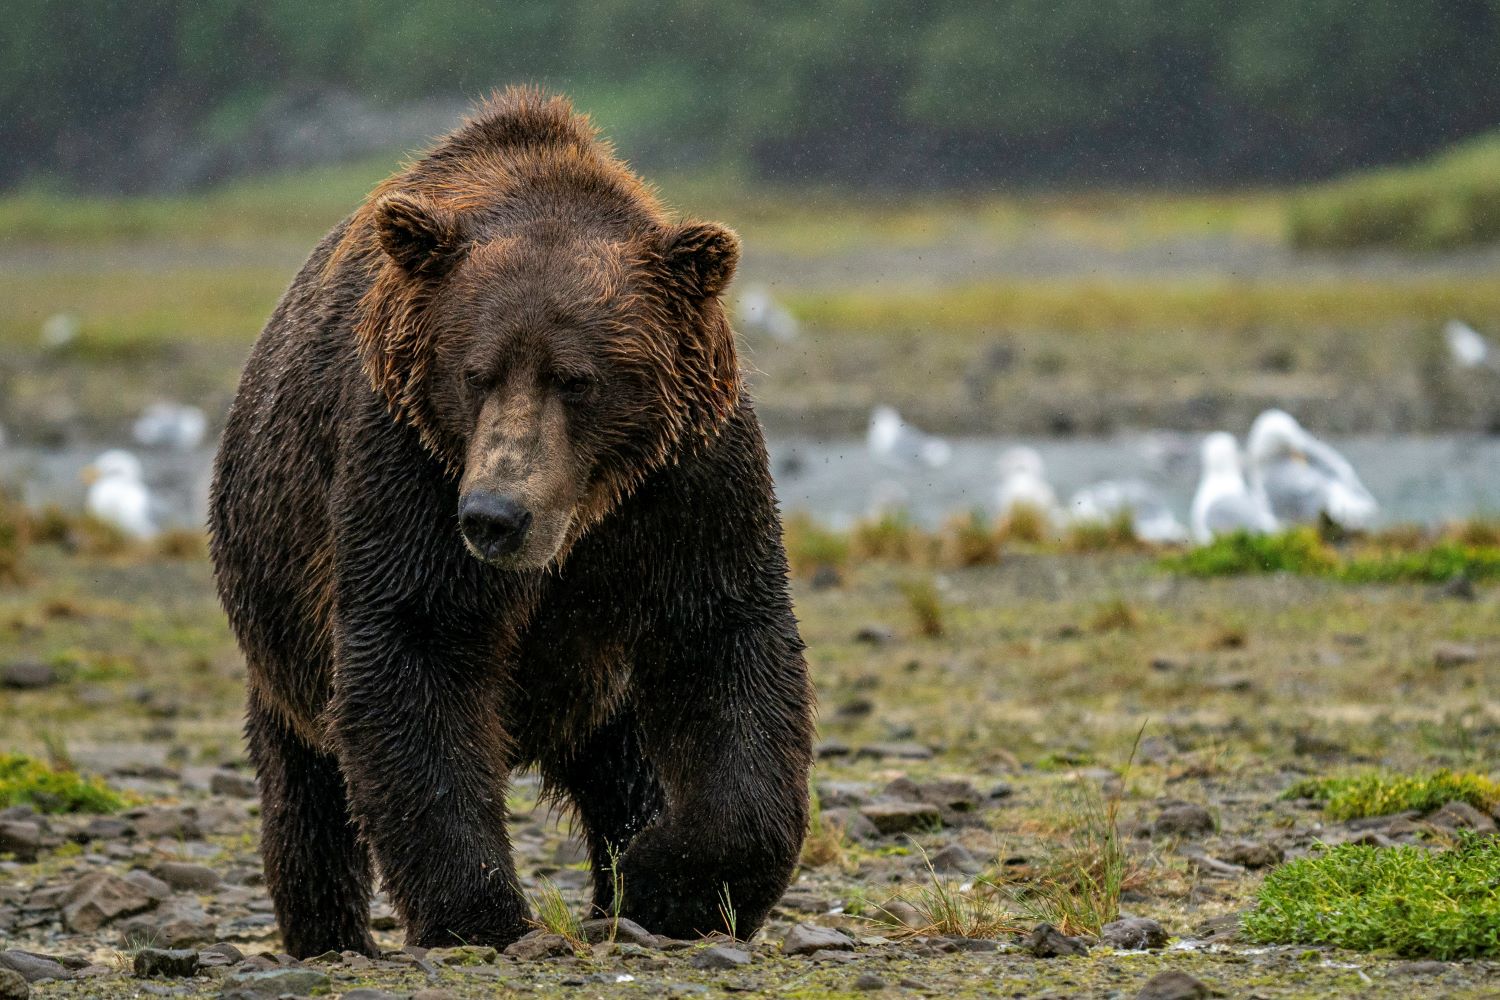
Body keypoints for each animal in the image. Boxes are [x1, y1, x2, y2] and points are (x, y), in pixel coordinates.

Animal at [208, 87, 814, 957]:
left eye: (577, 378)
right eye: (475, 372)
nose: (496, 515)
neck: (583, 515)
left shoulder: (686, 483)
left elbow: (726, 644)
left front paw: (670, 882)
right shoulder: (410, 468)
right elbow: (418, 649)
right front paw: (480, 910)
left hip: (596, 684)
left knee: (625, 765)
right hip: (280, 613)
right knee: (304, 781)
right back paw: (331, 930)